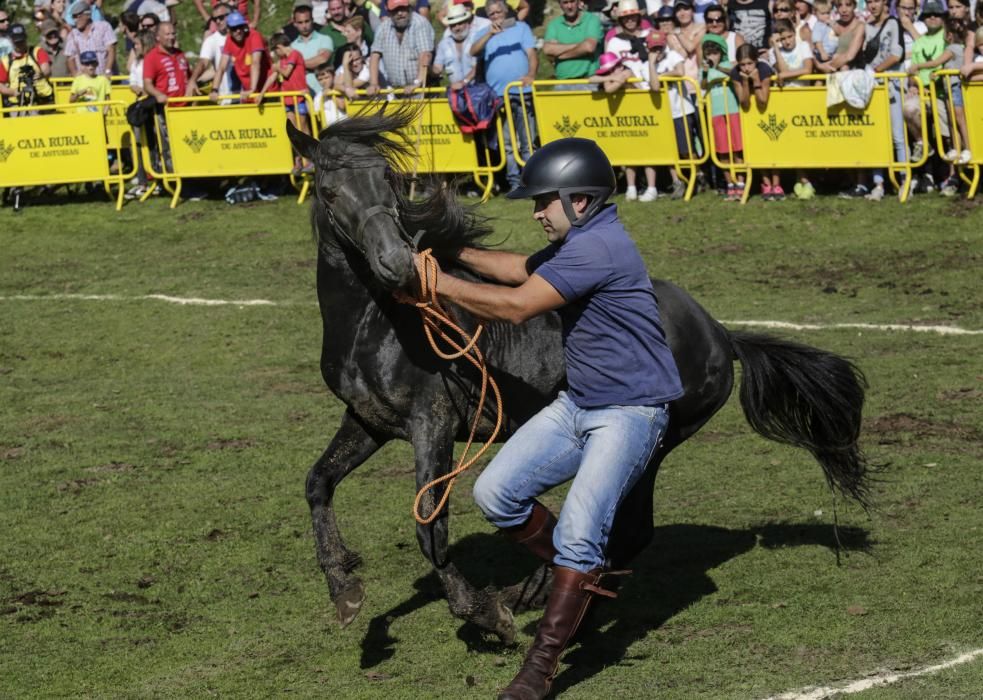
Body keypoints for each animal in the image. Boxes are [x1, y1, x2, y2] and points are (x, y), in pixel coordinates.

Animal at [284, 105, 868, 644]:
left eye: (388, 181)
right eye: (330, 192)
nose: (397, 263)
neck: (378, 324)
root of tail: (721, 334)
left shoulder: (432, 424)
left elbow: (431, 523)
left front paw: (483, 613)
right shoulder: (370, 422)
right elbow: (318, 483)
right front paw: (344, 589)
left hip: (652, 447)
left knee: (625, 530)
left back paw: (532, 596)